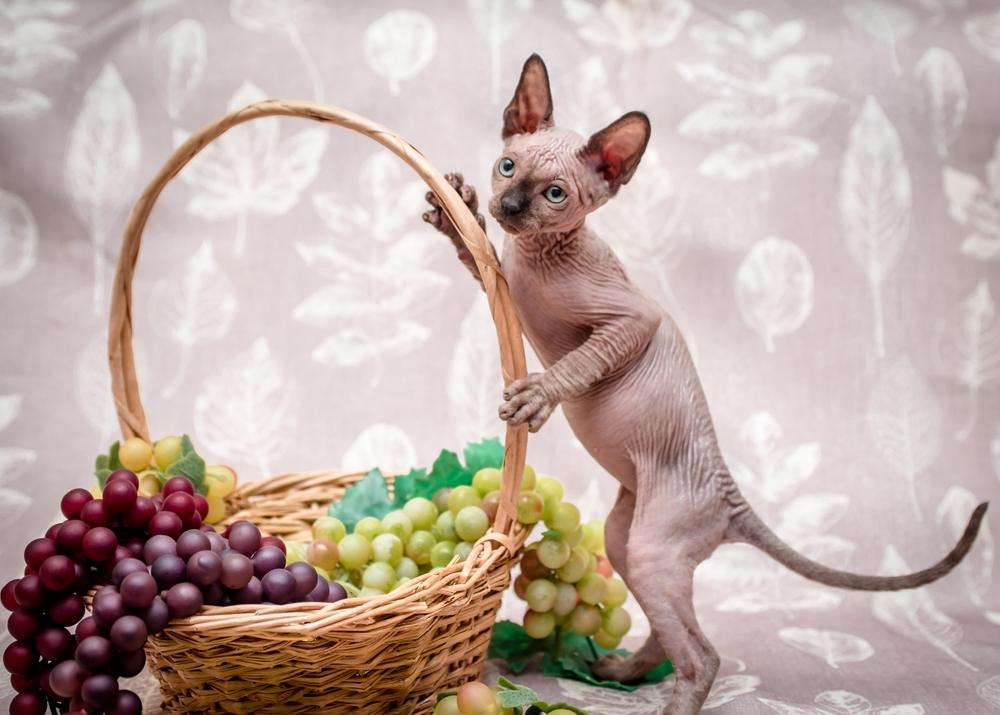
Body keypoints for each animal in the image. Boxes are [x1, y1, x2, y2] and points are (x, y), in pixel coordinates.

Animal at [420, 56, 984, 715]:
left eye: (554, 194)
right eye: (507, 166)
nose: (509, 205)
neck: (538, 256)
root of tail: (729, 496)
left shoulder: (636, 319)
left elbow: (582, 360)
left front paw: (538, 396)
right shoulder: (503, 276)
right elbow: (477, 253)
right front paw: (457, 209)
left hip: (654, 544)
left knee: (705, 655)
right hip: (630, 540)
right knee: (676, 631)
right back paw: (624, 671)